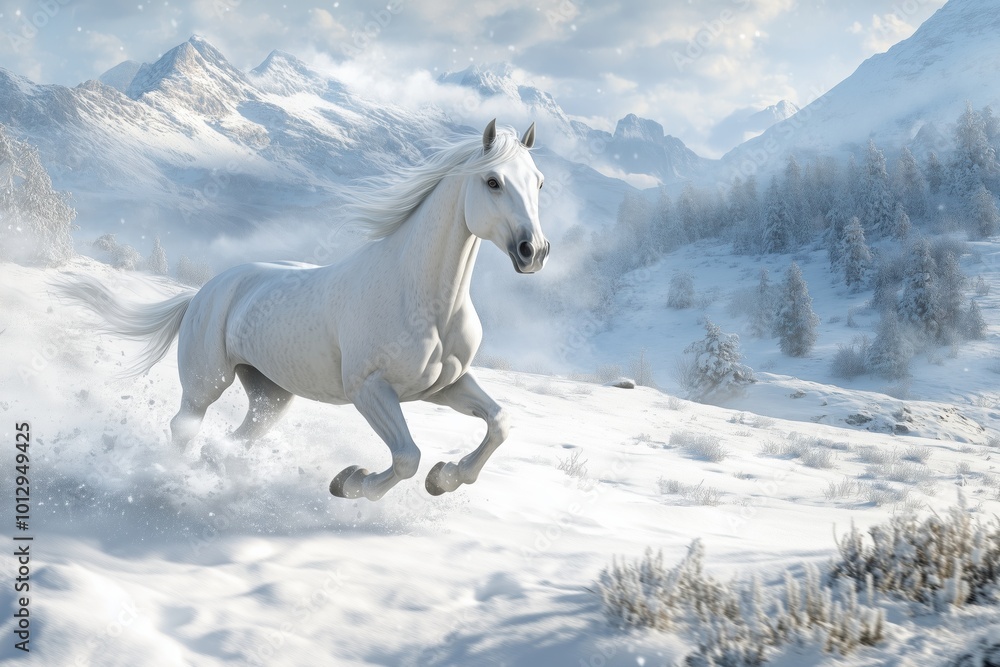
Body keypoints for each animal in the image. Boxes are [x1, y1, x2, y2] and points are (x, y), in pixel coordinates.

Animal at [58, 119, 549, 502]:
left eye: (539, 182)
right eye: (493, 181)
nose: (534, 251)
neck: (422, 298)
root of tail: (201, 293)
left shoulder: (444, 385)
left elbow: (500, 422)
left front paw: (445, 478)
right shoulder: (369, 390)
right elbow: (407, 456)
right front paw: (350, 482)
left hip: (271, 395)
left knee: (237, 439)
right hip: (205, 384)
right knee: (185, 427)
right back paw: (172, 479)